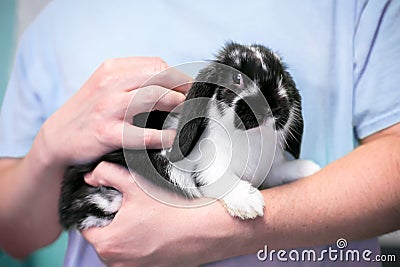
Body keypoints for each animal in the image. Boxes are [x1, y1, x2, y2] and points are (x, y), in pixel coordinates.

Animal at [59, 42, 320, 230]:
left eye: (281, 77)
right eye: (236, 79)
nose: (273, 107)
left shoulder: (269, 169)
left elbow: (281, 171)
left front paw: (308, 168)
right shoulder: (206, 169)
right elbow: (222, 179)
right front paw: (249, 203)